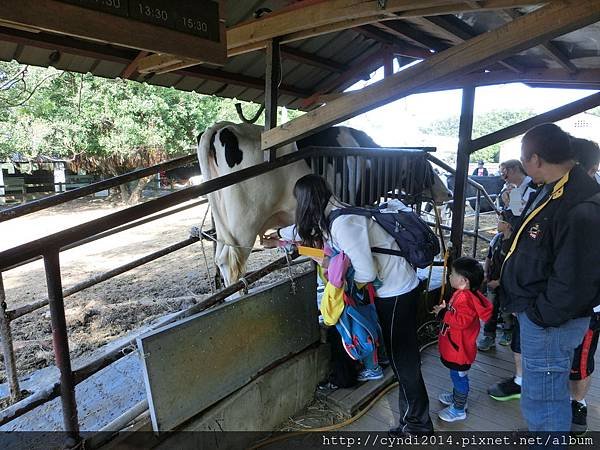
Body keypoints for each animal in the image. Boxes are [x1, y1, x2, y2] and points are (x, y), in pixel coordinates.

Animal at [197, 121, 450, 286]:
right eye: (427, 168)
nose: (447, 191)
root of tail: (220, 127)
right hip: (244, 221)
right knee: (230, 262)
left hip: (224, 224)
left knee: (221, 259)